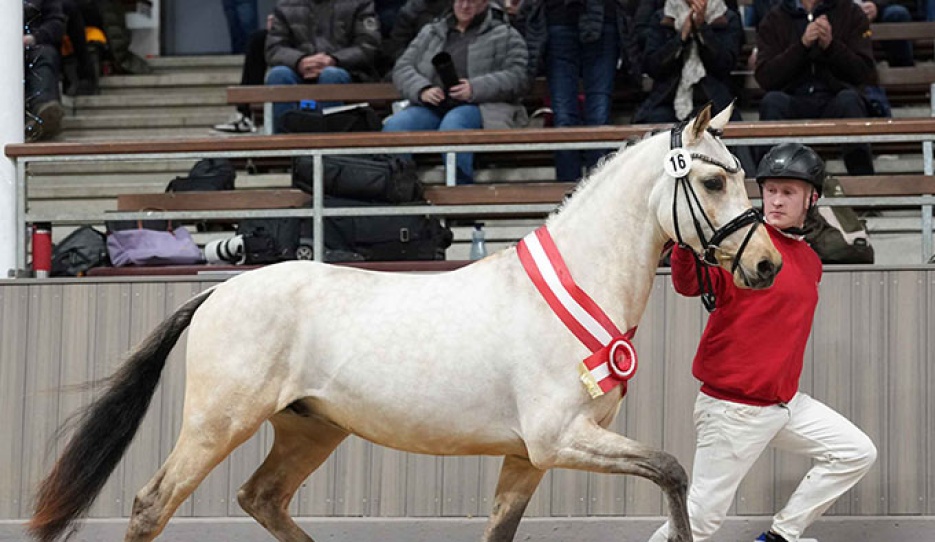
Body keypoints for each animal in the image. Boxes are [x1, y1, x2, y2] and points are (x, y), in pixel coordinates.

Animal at [29, 103, 781, 542]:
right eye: (713, 181)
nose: (767, 263)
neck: (574, 291)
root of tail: (219, 292)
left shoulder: (525, 458)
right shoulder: (558, 440)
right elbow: (674, 473)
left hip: (311, 428)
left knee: (261, 497)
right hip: (219, 423)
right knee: (152, 504)